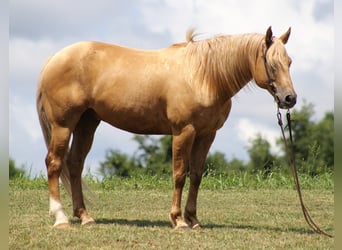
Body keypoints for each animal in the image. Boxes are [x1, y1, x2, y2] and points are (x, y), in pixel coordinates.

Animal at [36, 26, 296, 229]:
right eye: (272, 64)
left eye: (289, 62)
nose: (289, 98)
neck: (203, 76)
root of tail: (54, 58)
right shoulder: (184, 132)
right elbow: (179, 174)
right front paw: (178, 220)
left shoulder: (206, 135)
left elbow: (196, 176)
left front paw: (193, 219)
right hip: (63, 125)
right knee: (54, 163)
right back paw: (60, 218)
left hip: (86, 124)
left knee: (75, 164)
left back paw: (85, 216)